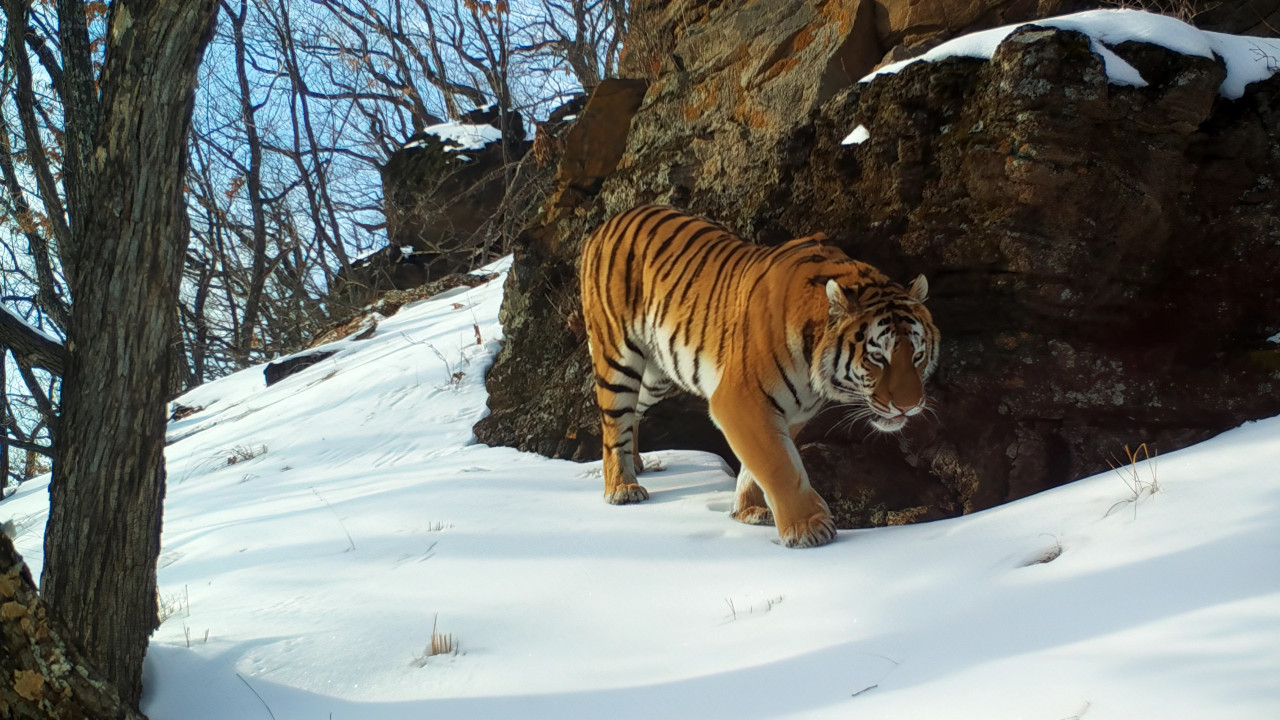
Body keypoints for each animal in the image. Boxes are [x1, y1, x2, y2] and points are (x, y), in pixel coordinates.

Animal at [579, 206, 939, 548]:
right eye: (878, 357)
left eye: (917, 356)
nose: (910, 406)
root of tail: (609, 222)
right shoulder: (740, 399)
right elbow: (777, 464)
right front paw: (807, 528)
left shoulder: (792, 412)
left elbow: (759, 465)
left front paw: (749, 511)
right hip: (619, 356)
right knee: (614, 422)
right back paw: (623, 487)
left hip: (657, 374)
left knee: (633, 414)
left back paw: (637, 463)